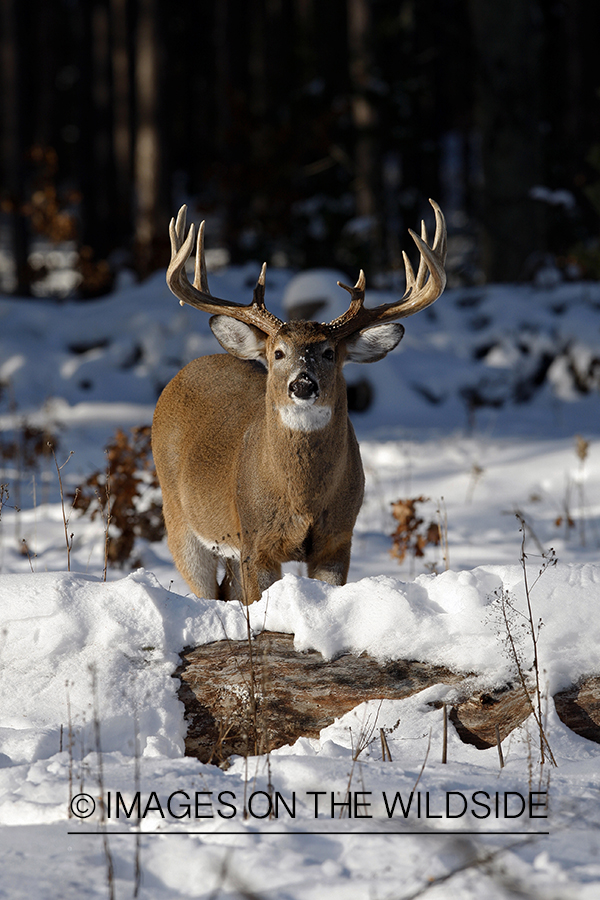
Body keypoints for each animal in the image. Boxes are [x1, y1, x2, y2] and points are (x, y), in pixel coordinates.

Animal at [152, 200, 448, 600]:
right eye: (278, 353)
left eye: (329, 353)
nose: (303, 385)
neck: (302, 499)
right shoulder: (255, 541)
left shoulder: (337, 539)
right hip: (179, 520)